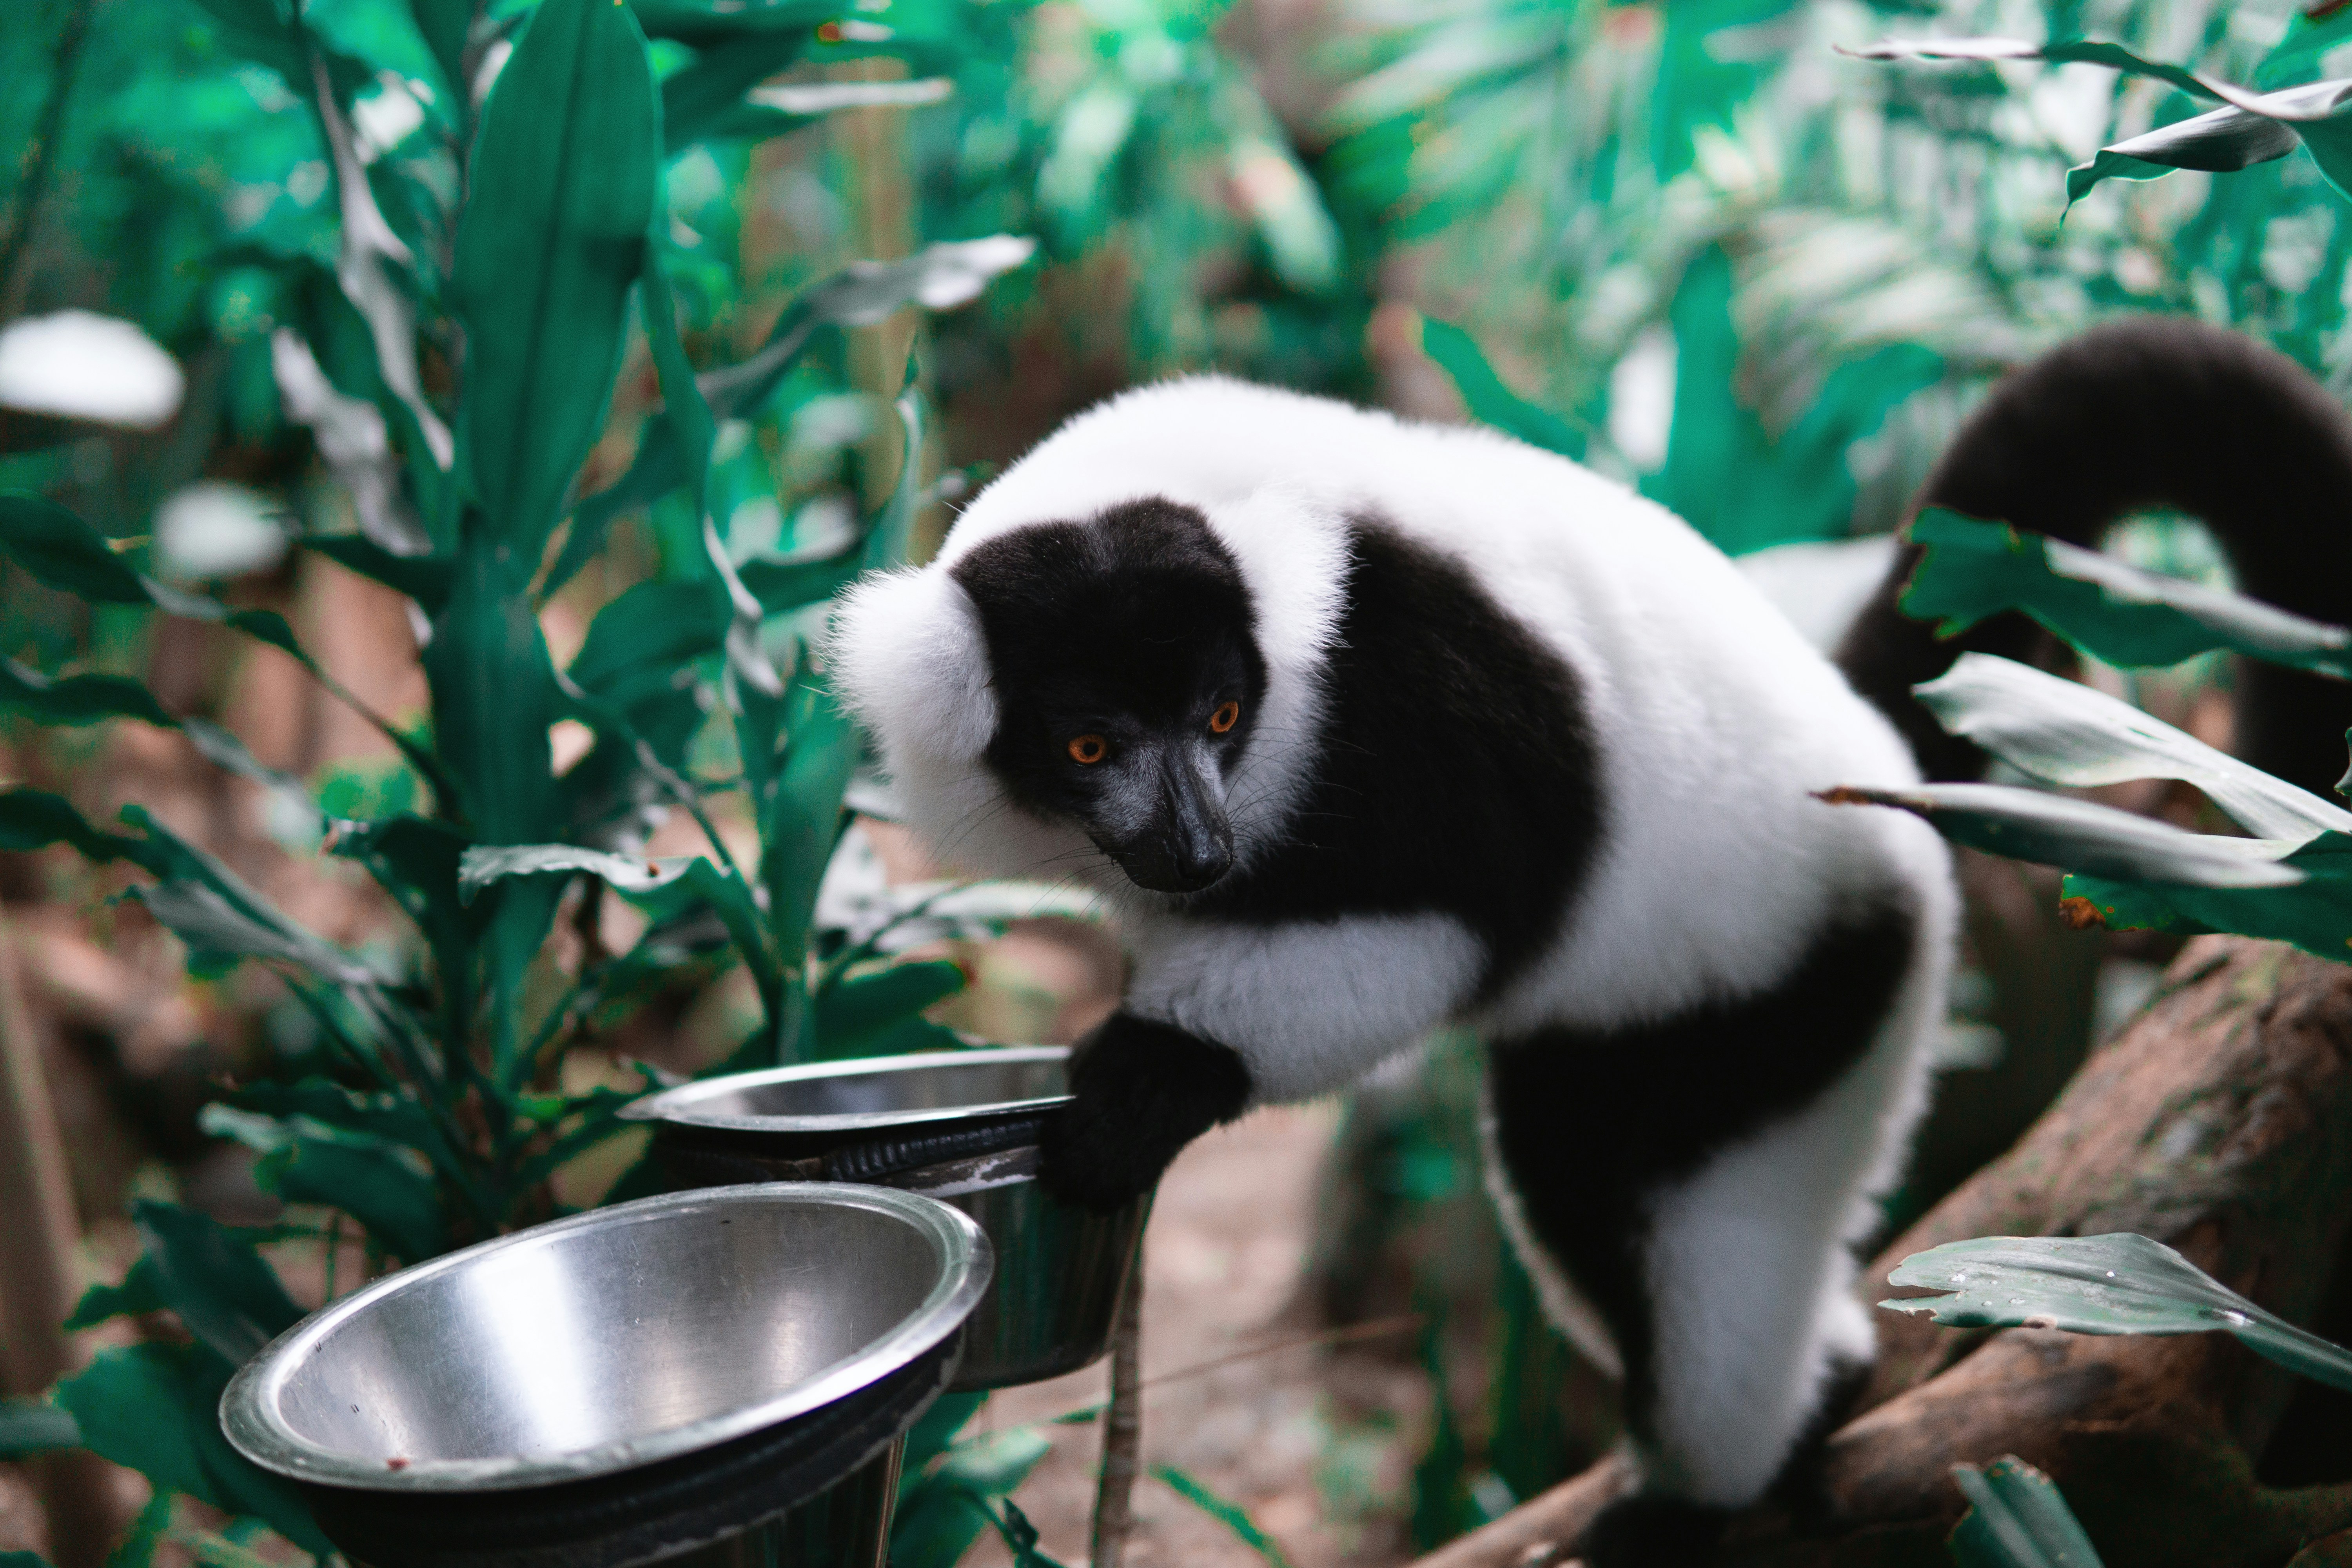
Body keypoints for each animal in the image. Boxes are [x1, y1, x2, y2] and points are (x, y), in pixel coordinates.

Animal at [825, 316, 2352, 1563]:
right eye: (1089, 744)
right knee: (1581, 1173)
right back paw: (1823, 1389)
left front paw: (1142, 1084)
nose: (1198, 853)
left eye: (1219, 715)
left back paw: (1711, 1486)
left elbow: (1466, 911)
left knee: (1680, 1215)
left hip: (1813, 978)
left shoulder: (1409, 684)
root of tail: (1873, 759)